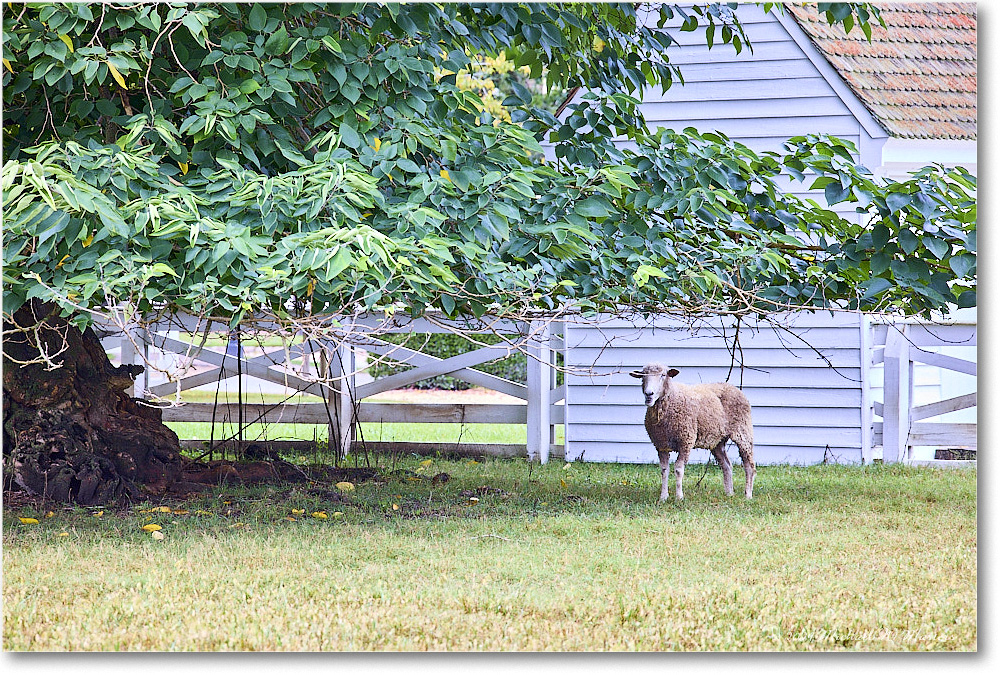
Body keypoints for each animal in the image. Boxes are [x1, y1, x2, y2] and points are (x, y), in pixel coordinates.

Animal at [628, 364, 752, 502]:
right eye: (642, 376)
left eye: (663, 375)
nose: (649, 394)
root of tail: (733, 387)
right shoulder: (661, 444)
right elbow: (664, 470)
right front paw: (663, 497)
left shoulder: (685, 442)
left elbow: (678, 469)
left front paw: (679, 497)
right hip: (718, 441)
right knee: (727, 465)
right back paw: (729, 493)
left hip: (743, 431)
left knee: (749, 465)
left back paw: (748, 494)